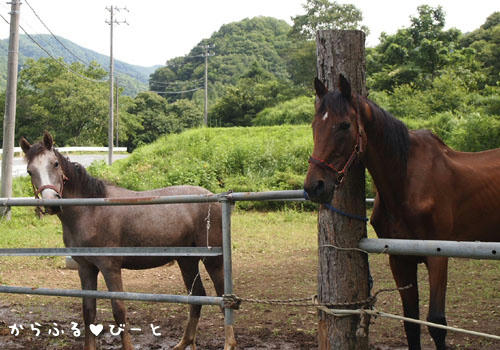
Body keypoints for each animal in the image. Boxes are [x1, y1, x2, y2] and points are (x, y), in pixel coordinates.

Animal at [20, 133, 237, 350]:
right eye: (30, 171)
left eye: (55, 164)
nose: (52, 203)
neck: (91, 210)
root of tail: (214, 197)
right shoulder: (86, 268)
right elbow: (89, 312)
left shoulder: (110, 268)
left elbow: (119, 311)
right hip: (187, 261)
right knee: (196, 297)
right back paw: (183, 343)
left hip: (213, 261)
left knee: (223, 297)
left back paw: (229, 343)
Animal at [302, 75, 500, 348]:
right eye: (314, 125)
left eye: (344, 125)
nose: (315, 186)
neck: (406, 182)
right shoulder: (399, 259)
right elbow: (411, 322)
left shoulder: (438, 257)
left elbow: (436, 323)